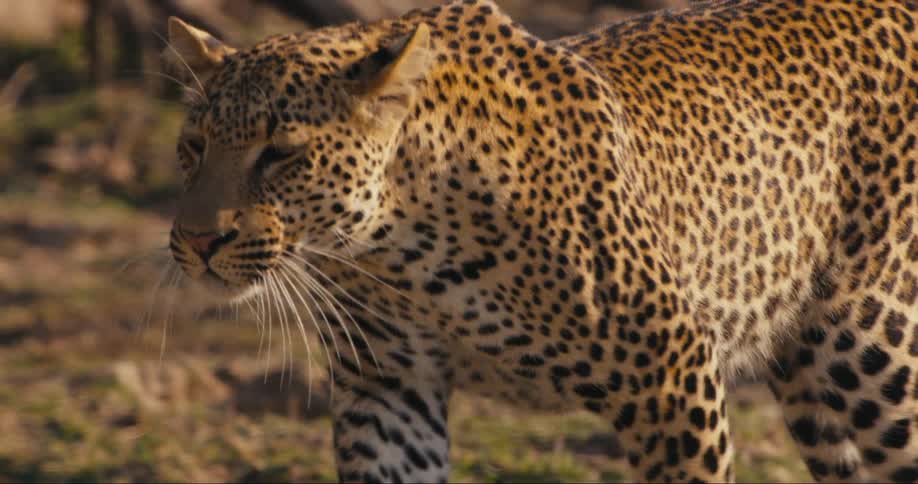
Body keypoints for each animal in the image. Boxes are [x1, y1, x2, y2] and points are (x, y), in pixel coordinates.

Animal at [160, 0, 918, 481]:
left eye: (281, 154)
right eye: (193, 145)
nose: (198, 240)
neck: (392, 252)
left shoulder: (671, 373)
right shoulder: (388, 390)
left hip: (872, 353)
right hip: (816, 388)